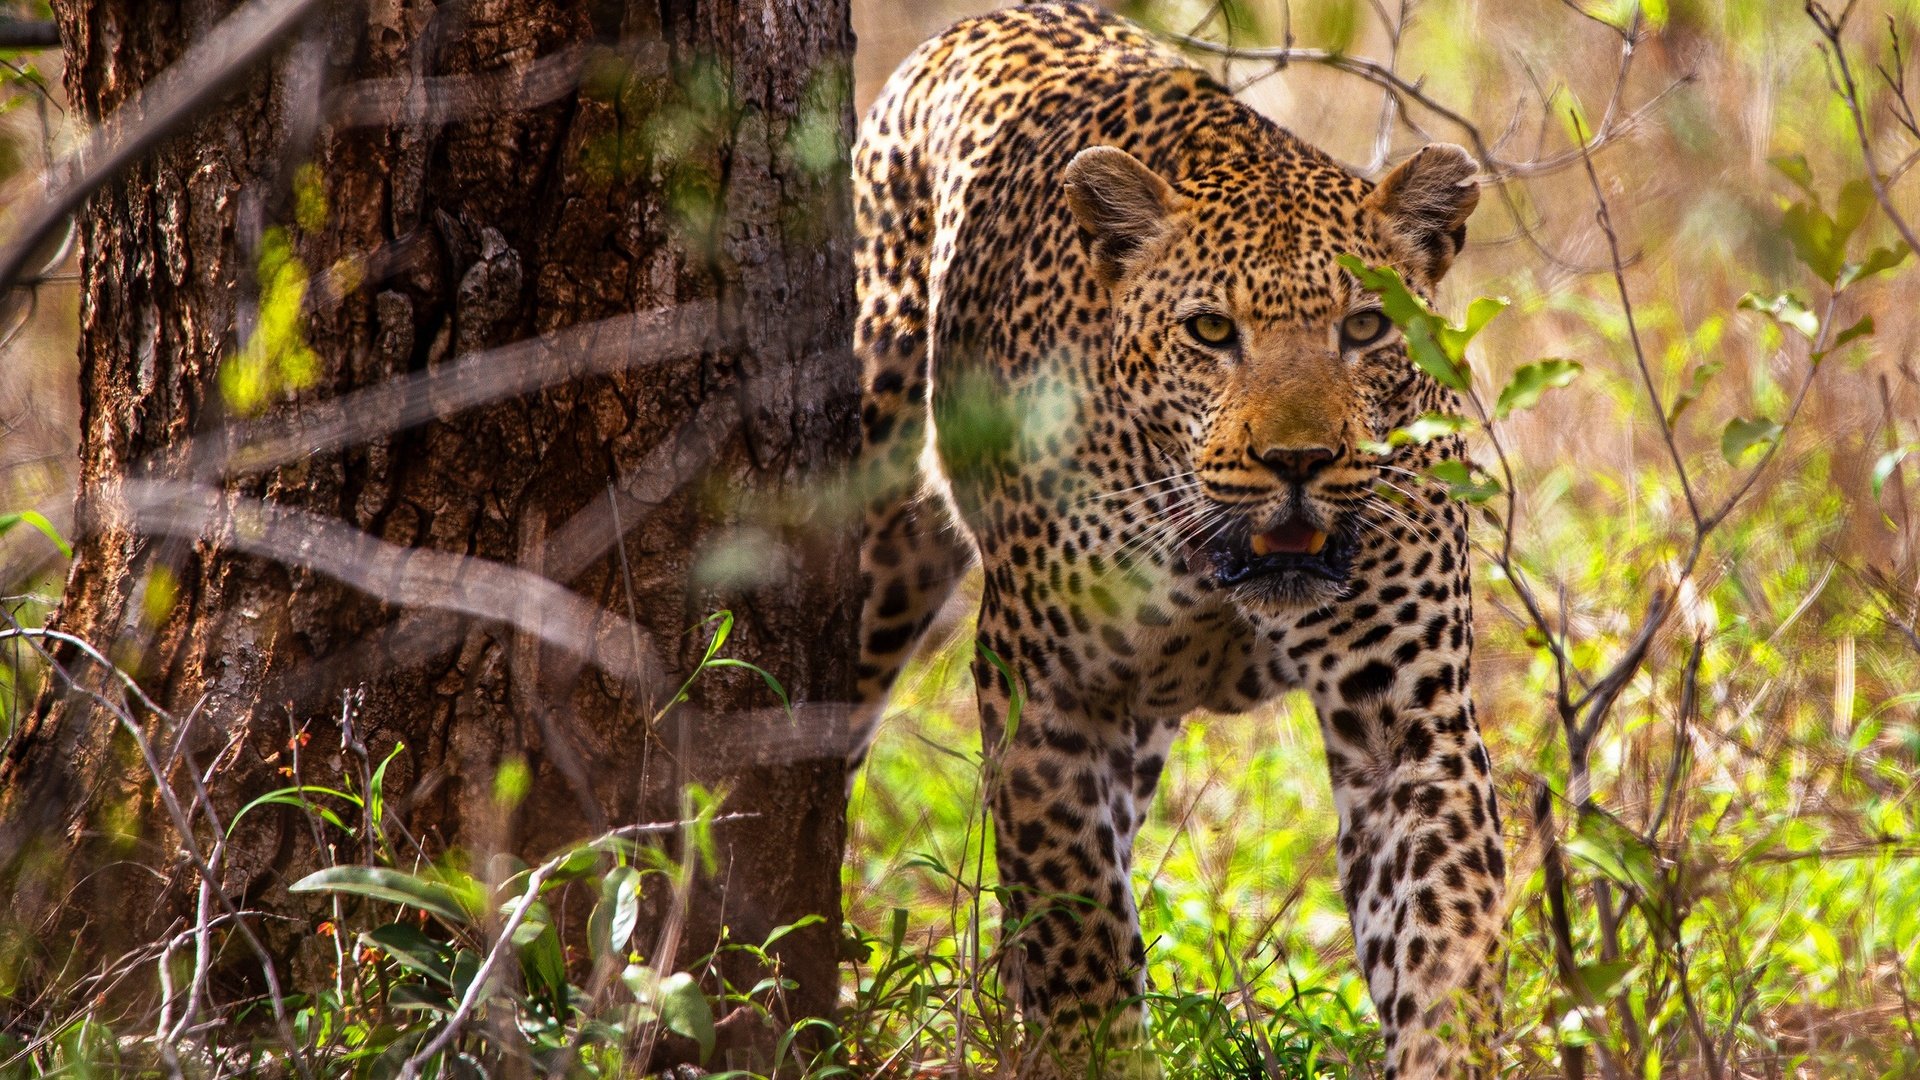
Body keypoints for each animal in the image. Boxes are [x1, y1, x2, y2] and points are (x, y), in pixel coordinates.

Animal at [852, 4, 1497, 1068]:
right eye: (1209, 331)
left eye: (1366, 329)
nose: (1297, 460)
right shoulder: (1049, 696)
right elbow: (1082, 938)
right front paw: (1096, 1052)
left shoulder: (1408, 716)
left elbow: (1446, 934)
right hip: (879, 543)